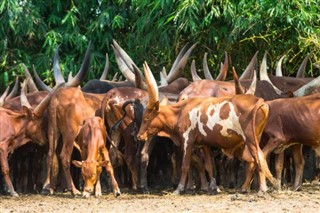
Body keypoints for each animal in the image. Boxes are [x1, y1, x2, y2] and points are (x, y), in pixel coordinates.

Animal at [136, 62, 276, 195]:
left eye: (147, 117)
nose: (139, 136)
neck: (181, 111)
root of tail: (259, 102)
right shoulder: (204, 144)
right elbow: (208, 165)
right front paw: (213, 187)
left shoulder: (188, 140)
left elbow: (185, 165)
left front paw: (179, 189)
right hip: (255, 138)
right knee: (256, 160)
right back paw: (250, 187)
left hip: (250, 139)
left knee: (259, 157)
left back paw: (261, 188)